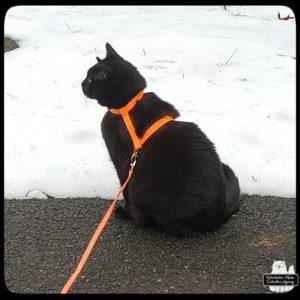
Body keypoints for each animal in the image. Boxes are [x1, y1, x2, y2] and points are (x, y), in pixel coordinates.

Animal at [81, 42, 240, 237]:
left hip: (145, 193)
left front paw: (125, 212)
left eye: (90, 79)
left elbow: (124, 191)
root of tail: (219, 215)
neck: (128, 103)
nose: (81, 84)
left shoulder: (123, 164)